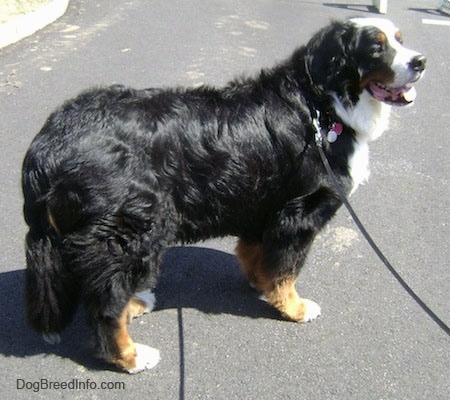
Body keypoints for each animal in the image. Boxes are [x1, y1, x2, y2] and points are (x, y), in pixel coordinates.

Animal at [22, 15, 426, 372]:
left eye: (401, 39)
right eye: (376, 47)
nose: (420, 61)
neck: (319, 106)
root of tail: (48, 142)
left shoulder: (261, 204)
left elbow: (259, 256)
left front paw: (262, 285)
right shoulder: (297, 212)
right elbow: (286, 269)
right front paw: (293, 307)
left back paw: (136, 301)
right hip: (134, 227)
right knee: (105, 305)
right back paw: (131, 356)